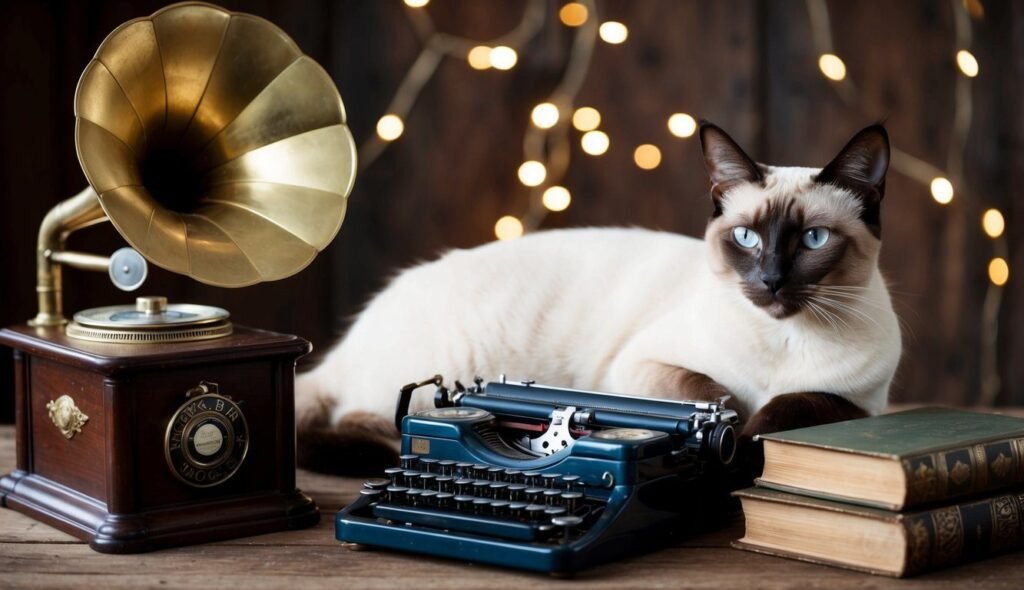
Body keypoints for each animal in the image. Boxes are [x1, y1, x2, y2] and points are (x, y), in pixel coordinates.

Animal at [294, 124, 897, 475]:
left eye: (813, 240)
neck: (782, 339)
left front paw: (746, 437)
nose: (771, 281)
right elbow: (714, 392)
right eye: (747, 238)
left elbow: (793, 405)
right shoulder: (642, 367)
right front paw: (732, 428)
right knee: (353, 421)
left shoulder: (860, 402)